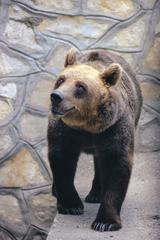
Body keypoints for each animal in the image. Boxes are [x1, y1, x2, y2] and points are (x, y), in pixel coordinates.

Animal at [47, 47, 142, 232]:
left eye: (80, 86)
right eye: (61, 80)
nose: (56, 96)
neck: (87, 126)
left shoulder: (114, 127)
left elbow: (116, 165)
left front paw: (105, 222)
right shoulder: (65, 129)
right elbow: (62, 160)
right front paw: (71, 205)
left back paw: (95, 194)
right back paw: (57, 192)